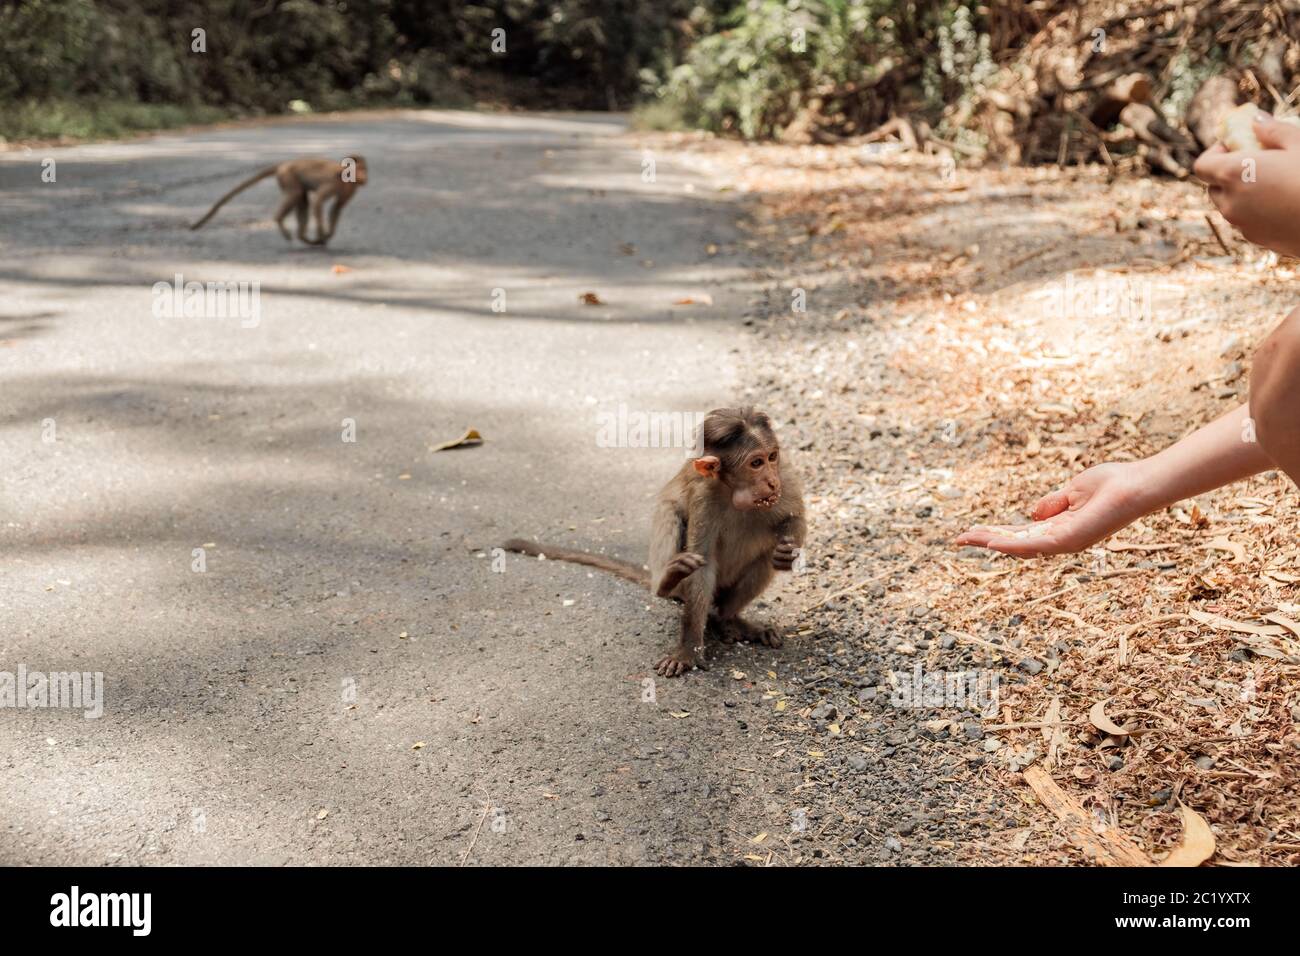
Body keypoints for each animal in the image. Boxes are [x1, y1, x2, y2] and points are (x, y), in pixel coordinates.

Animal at [190, 156, 367, 245]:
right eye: (361, 169)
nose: (364, 177)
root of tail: (284, 164)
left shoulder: (349, 189)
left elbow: (337, 207)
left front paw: (328, 234)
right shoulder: (334, 182)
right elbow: (319, 202)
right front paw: (322, 233)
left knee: (301, 198)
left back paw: (303, 237)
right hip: (287, 176)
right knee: (296, 194)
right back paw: (280, 221)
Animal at [504, 407, 806, 678]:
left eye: (772, 457)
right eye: (755, 463)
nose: (770, 482)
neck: (732, 490)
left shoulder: (786, 475)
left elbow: (796, 520)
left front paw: (788, 552)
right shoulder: (704, 496)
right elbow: (703, 565)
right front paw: (688, 649)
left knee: (763, 557)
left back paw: (729, 620)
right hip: (683, 582)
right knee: (669, 512)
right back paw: (668, 581)